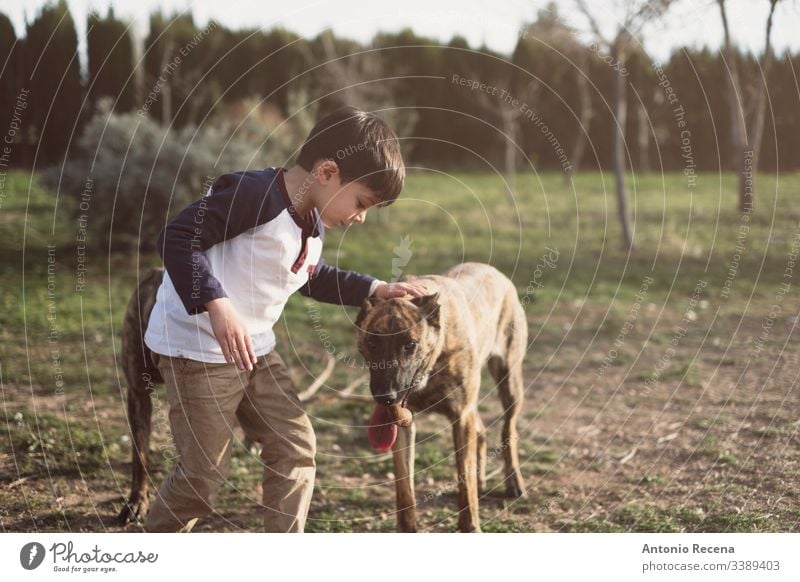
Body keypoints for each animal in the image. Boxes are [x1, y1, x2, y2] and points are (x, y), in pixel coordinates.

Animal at [354, 264, 528, 532]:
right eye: (372, 342)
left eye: (410, 344)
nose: (386, 397)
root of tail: (493, 270)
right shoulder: (405, 425)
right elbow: (404, 488)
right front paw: (407, 529)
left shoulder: (462, 416)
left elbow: (465, 484)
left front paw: (470, 526)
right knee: (481, 431)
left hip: (509, 380)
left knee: (508, 429)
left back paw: (513, 482)